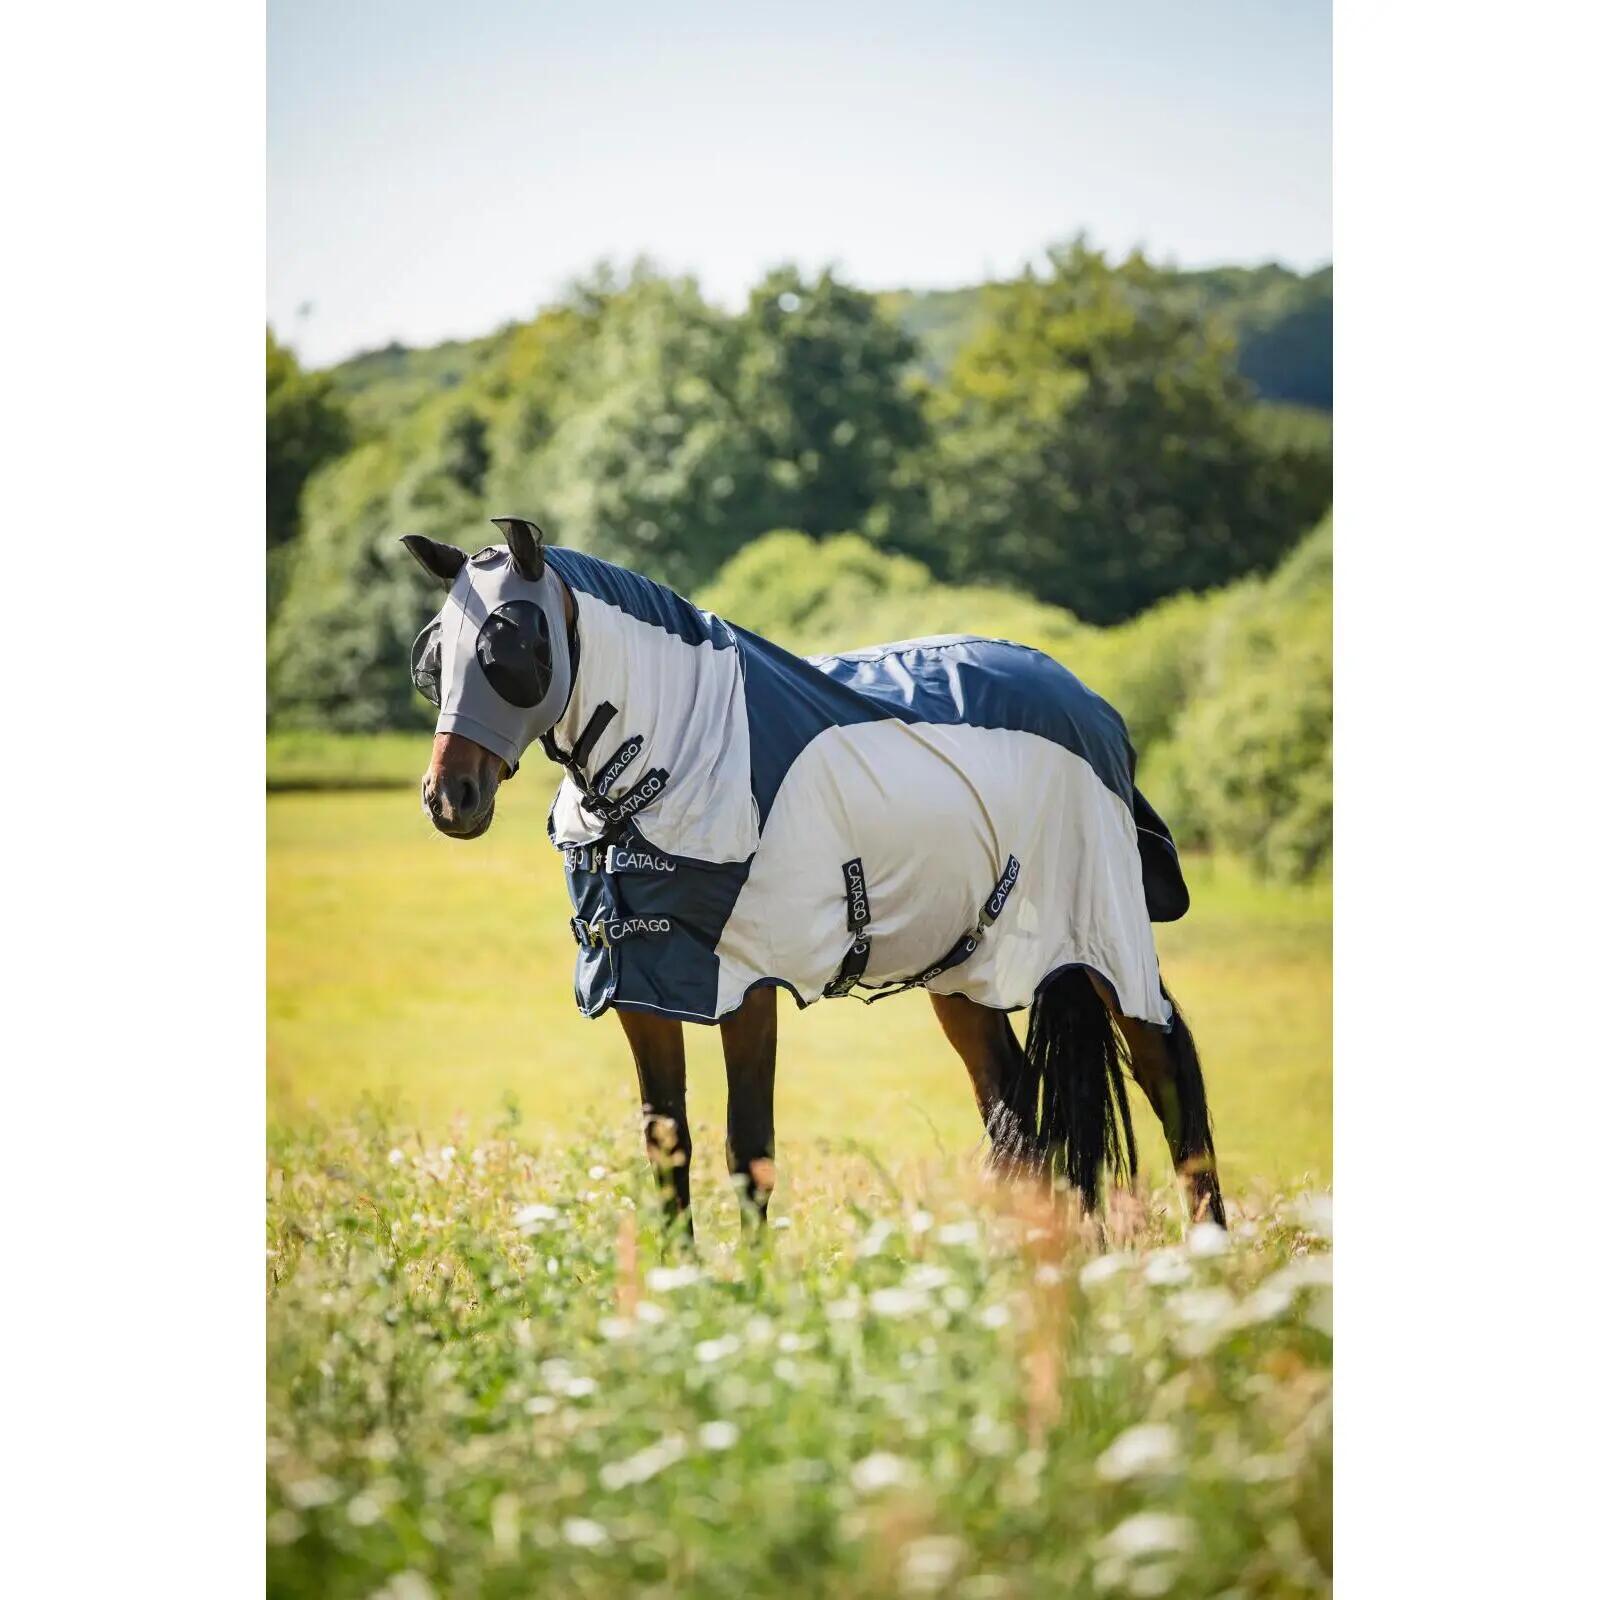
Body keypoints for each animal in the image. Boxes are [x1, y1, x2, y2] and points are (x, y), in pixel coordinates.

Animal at [404, 516, 1225, 1236]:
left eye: (513, 646)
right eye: (435, 659)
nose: (450, 798)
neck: (684, 751)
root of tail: (1094, 707)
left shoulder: (746, 985)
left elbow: (749, 1151)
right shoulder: (640, 983)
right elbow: (667, 1146)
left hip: (1106, 945)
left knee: (1168, 1072)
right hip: (967, 970)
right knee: (1016, 1117)